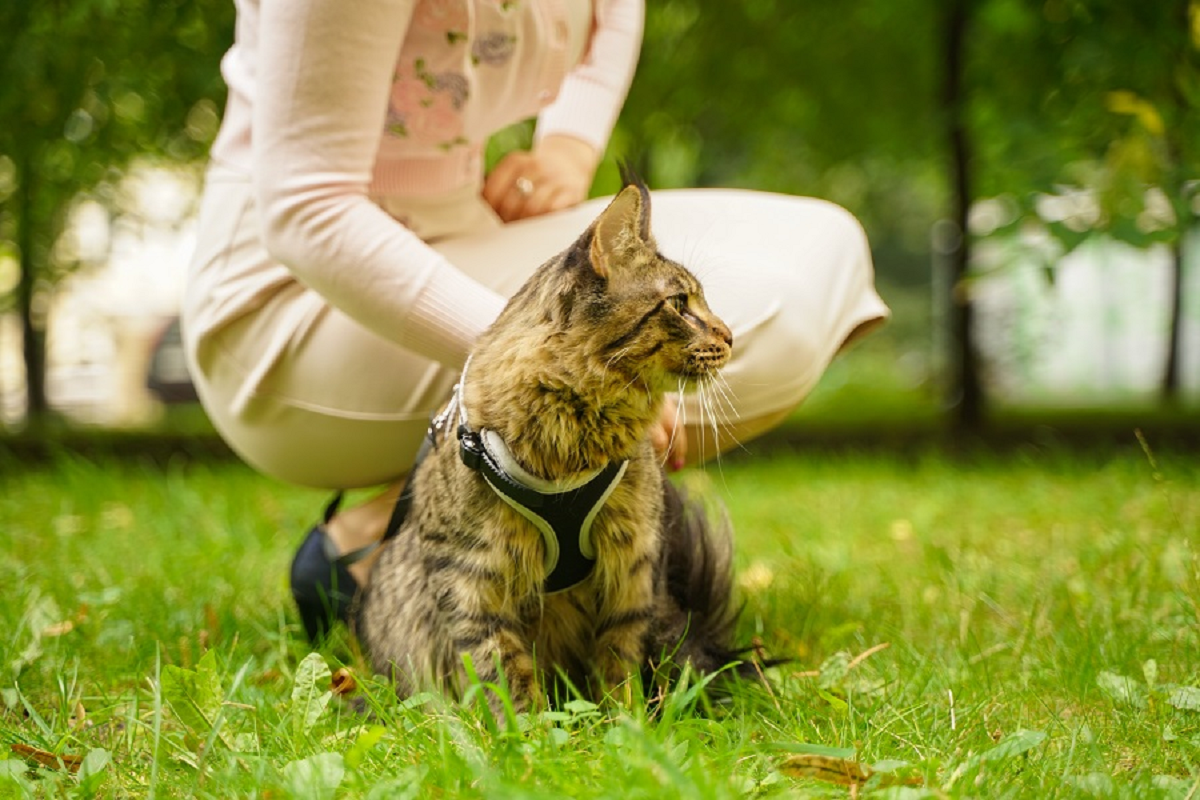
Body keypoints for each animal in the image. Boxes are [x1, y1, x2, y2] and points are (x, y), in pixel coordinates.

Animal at [355, 178, 744, 710]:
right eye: (680, 304)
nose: (730, 335)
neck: (574, 432)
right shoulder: (469, 577)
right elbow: (504, 675)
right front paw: (529, 729)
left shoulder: (631, 566)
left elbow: (618, 668)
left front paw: (626, 724)